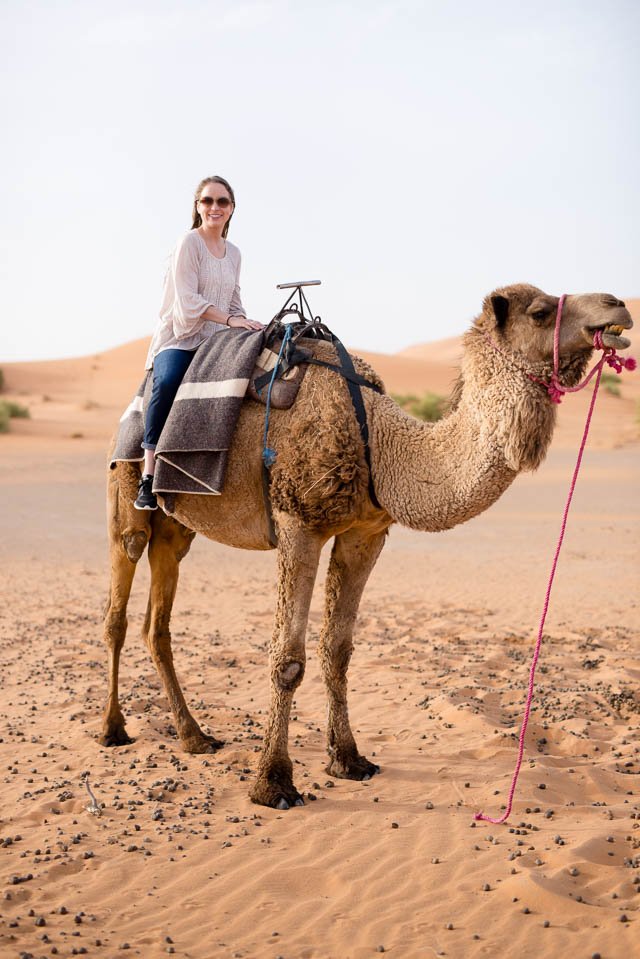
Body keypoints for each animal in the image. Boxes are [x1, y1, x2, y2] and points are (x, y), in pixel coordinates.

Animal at [101, 284, 632, 809]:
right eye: (540, 311)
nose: (618, 305)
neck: (378, 442)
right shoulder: (298, 523)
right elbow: (287, 657)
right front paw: (274, 782)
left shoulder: (365, 533)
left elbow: (337, 648)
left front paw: (349, 759)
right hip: (127, 493)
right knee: (119, 606)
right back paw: (114, 729)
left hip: (178, 527)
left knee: (157, 623)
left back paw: (194, 736)